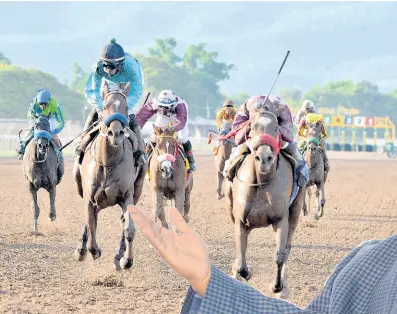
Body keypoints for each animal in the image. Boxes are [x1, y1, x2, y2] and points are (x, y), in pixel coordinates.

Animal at [72, 81, 145, 270]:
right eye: (105, 106)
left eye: (126, 107)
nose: (116, 133)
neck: (107, 163)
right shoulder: (90, 197)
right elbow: (91, 226)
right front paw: (92, 250)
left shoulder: (127, 197)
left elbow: (129, 229)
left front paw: (127, 260)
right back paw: (81, 249)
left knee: (122, 221)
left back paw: (119, 255)